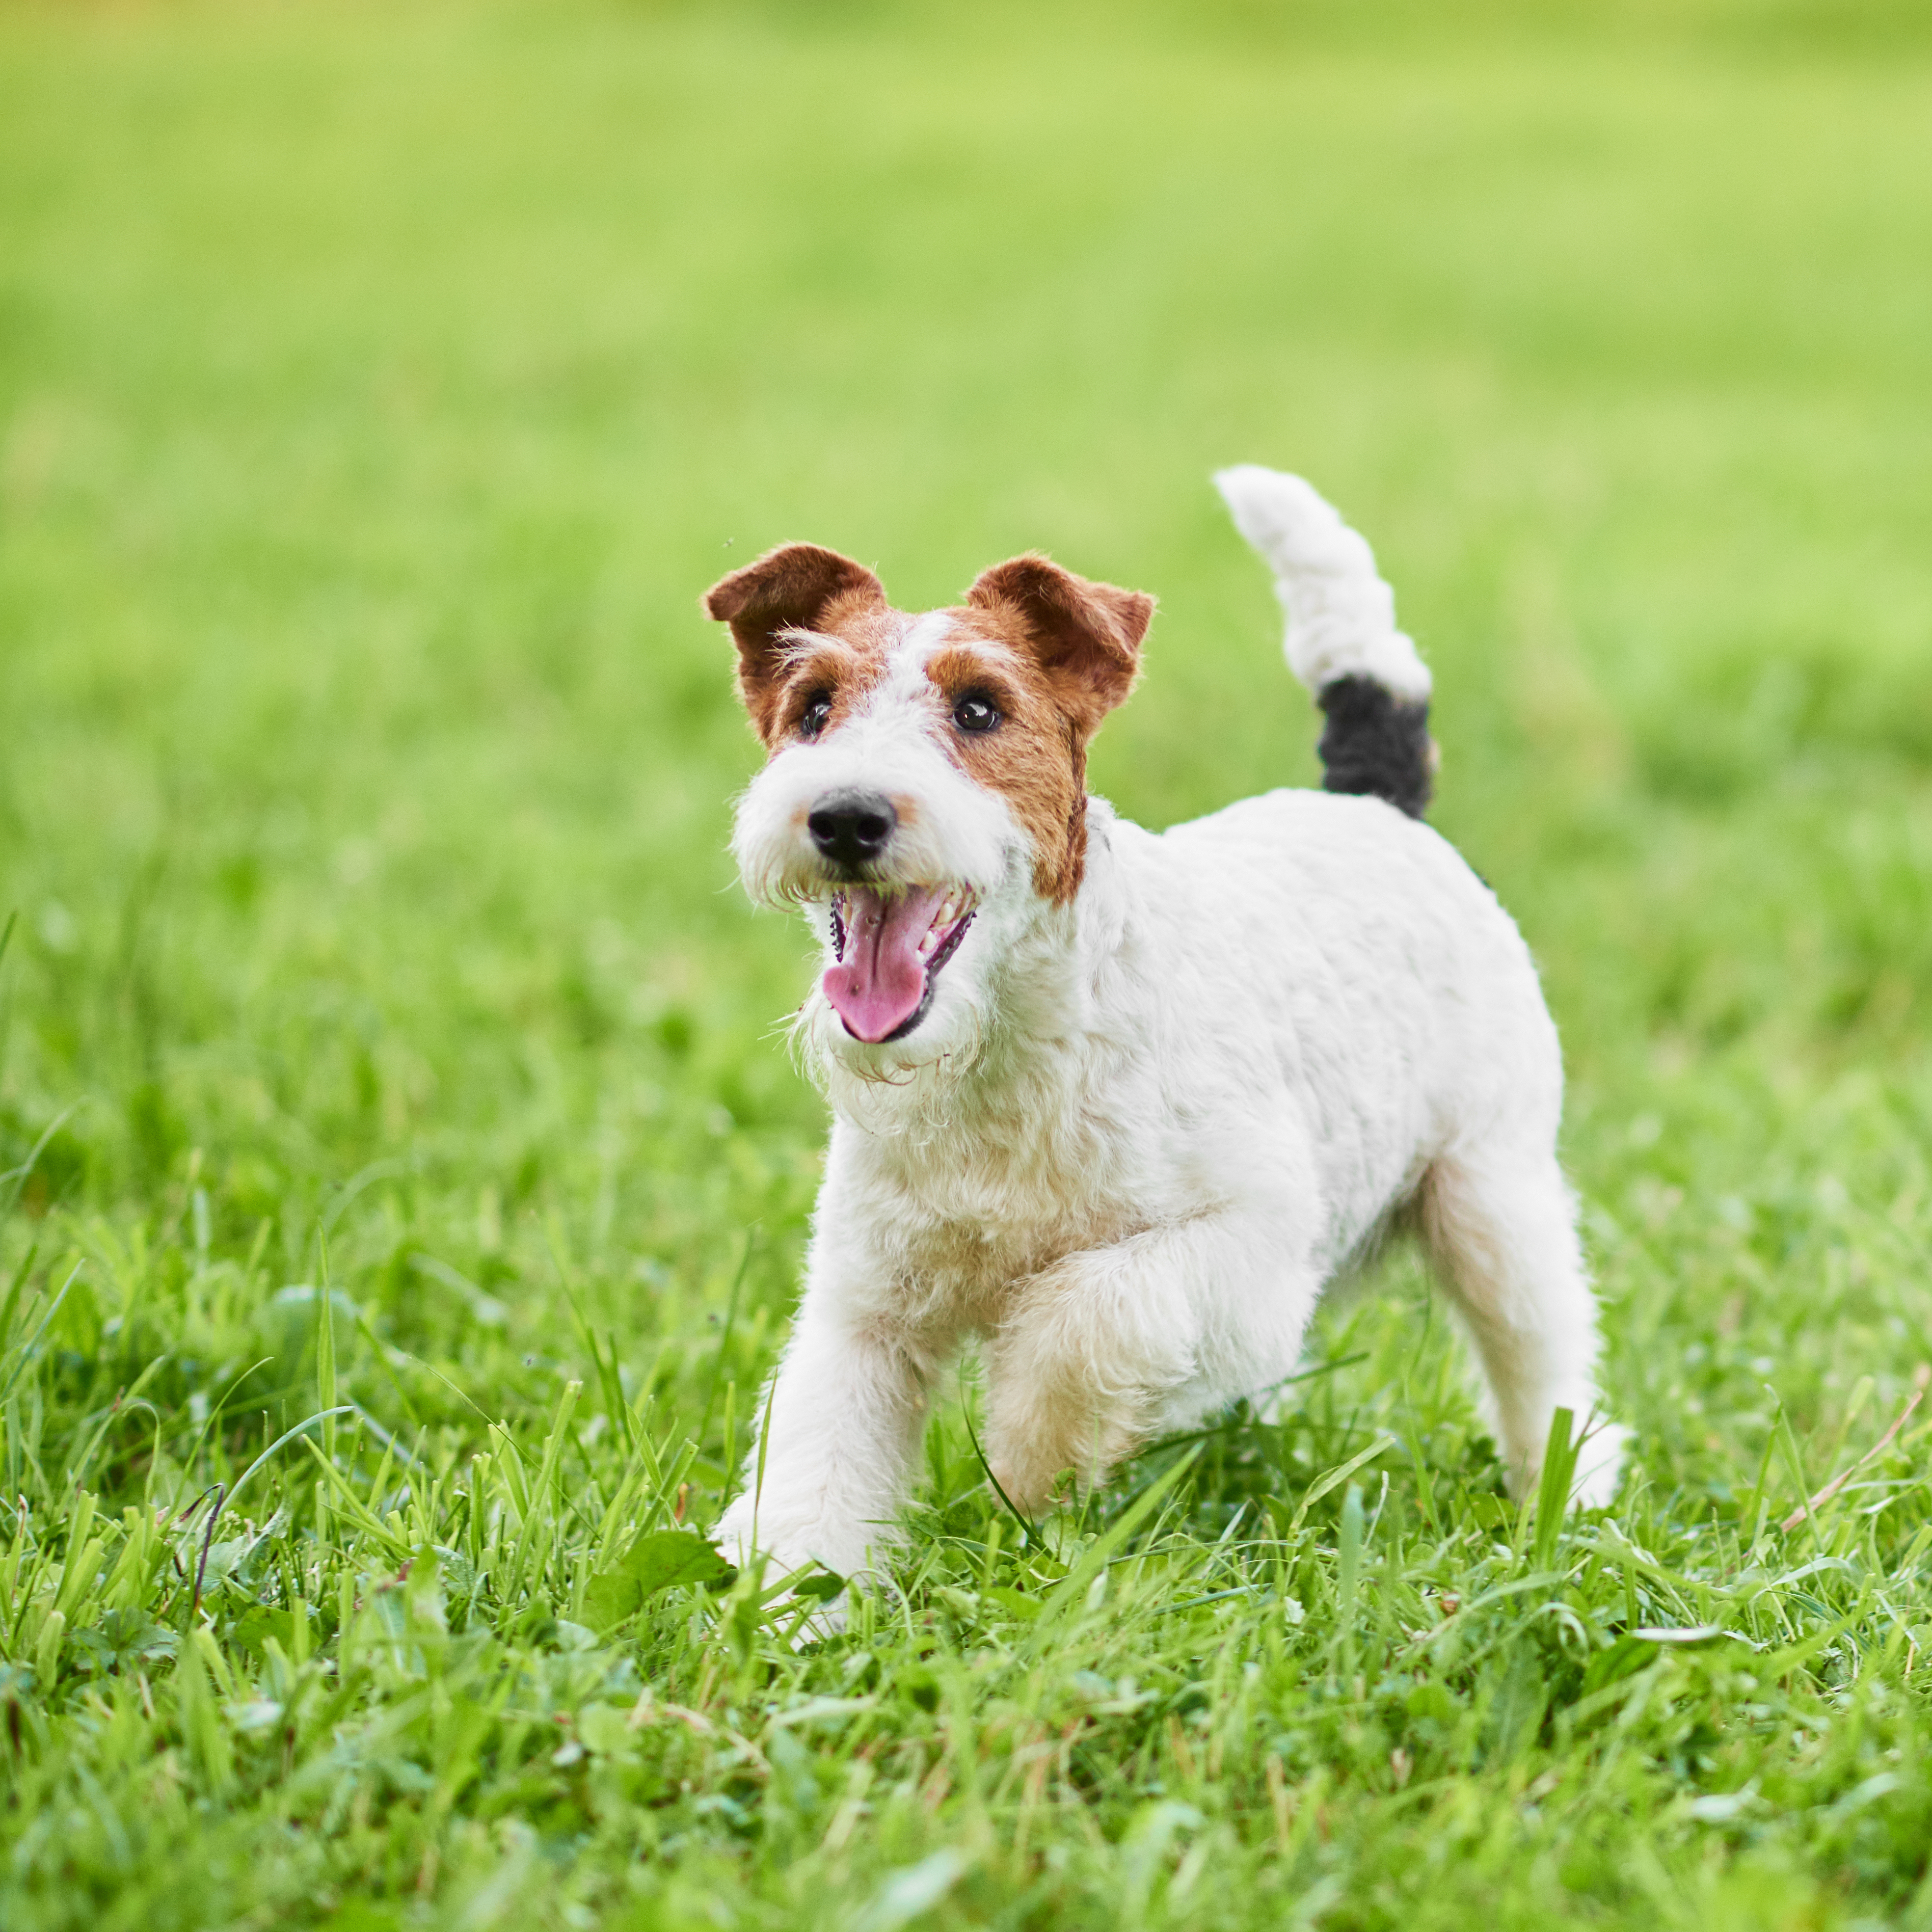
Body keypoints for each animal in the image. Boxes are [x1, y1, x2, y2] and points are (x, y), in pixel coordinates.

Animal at [703, 464, 1623, 1584]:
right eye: (814, 707)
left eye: (979, 707)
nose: (844, 816)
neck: (1005, 1055)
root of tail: (1377, 802)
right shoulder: (864, 1305)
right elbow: (816, 1459)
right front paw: (789, 1603)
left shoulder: (1245, 1243)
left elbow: (1090, 1318)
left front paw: (1027, 1458)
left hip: (1492, 1192)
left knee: (1545, 1361)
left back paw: (1569, 1503)